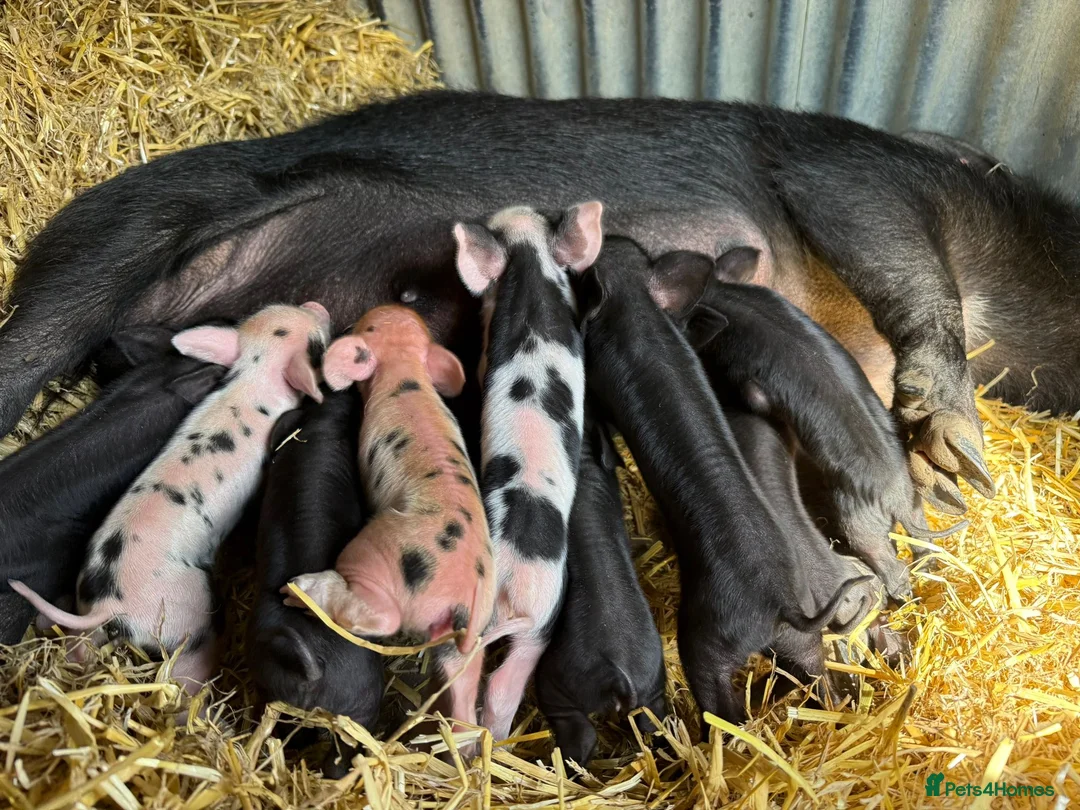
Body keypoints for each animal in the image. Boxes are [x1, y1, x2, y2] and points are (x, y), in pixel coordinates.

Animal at [287, 304, 494, 729]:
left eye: (366, 328)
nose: (385, 307)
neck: (405, 373)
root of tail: (463, 594)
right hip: (468, 640)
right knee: (464, 696)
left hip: (376, 557)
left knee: (382, 618)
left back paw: (298, 590)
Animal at [577, 238, 869, 723]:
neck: (638, 311)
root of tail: (779, 604)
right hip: (801, 642)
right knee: (814, 673)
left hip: (706, 643)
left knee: (721, 703)